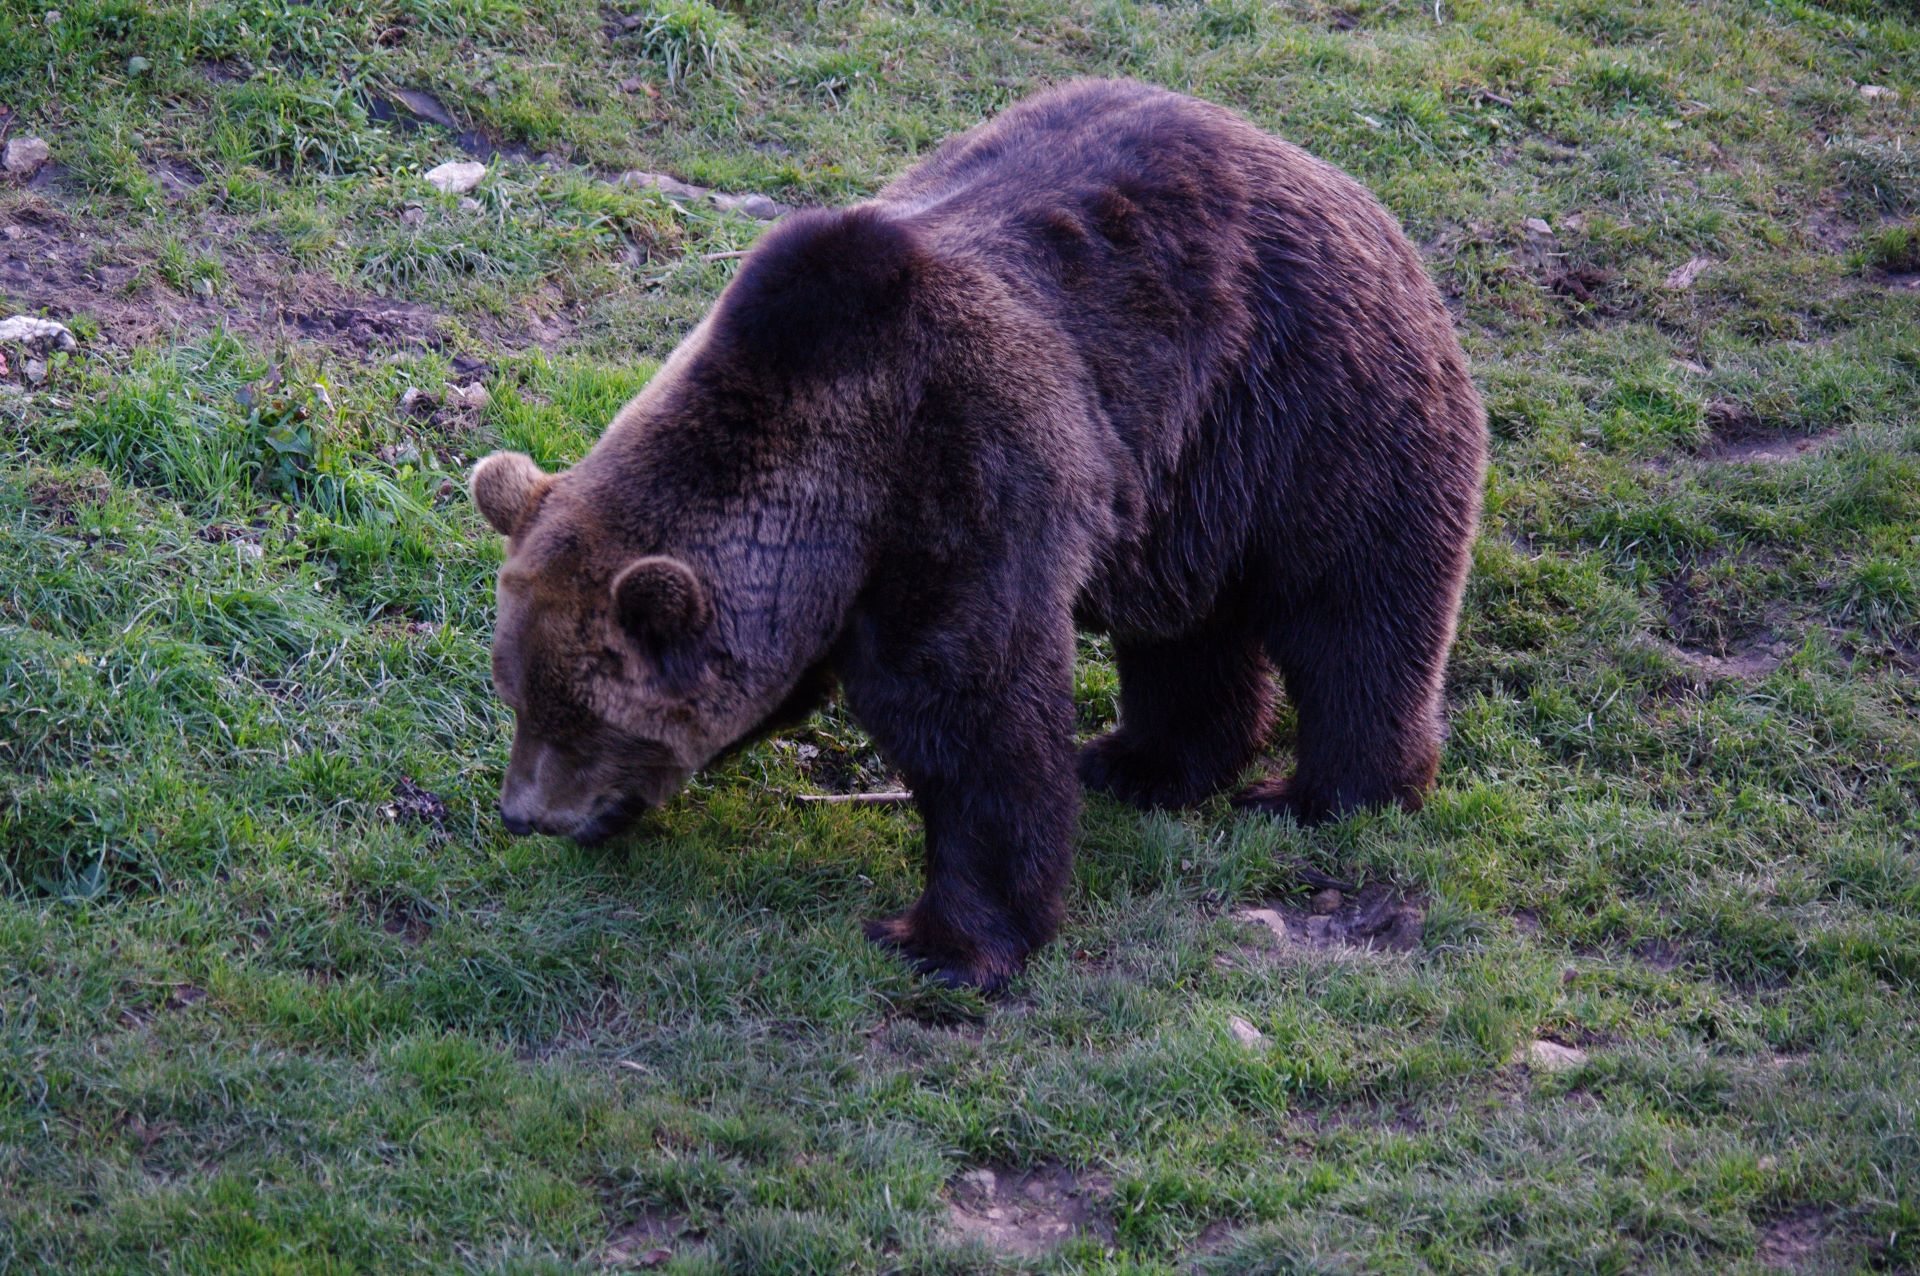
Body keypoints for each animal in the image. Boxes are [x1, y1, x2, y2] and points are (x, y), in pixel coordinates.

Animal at [464, 79, 1482, 990]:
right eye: (516, 695)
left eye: (578, 714)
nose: (523, 815)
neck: (836, 489)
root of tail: (1337, 178)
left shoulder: (966, 481)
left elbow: (978, 717)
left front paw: (944, 940)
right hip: (1182, 484)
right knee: (1185, 629)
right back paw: (1143, 762)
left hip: (1315, 405)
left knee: (1353, 607)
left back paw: (1326, 793)